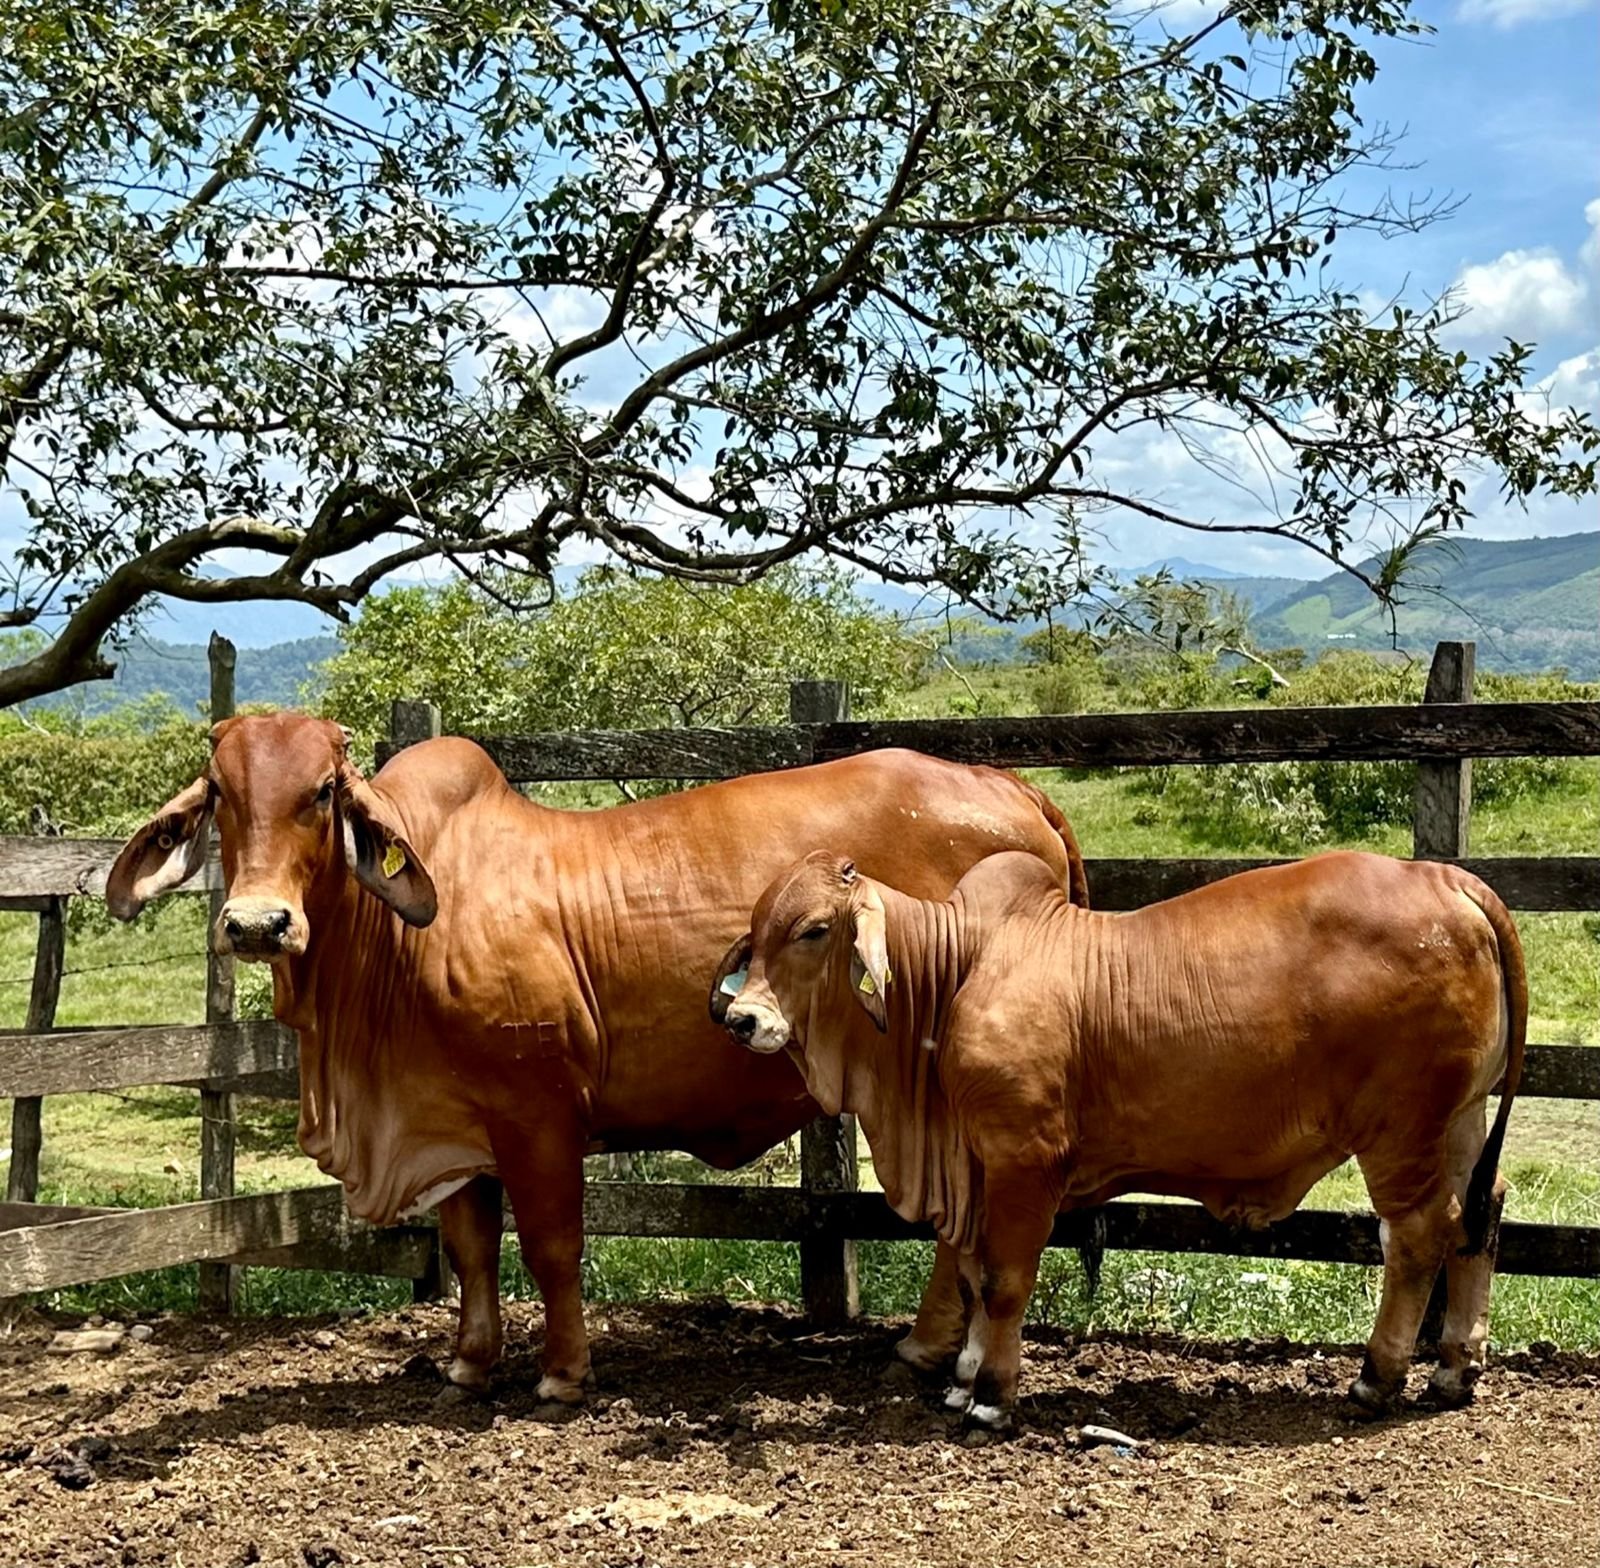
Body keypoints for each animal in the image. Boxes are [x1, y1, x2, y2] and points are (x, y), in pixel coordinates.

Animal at [106, 716, 1088, 1401]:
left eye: (319, 792)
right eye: (222, 796)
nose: (256, 923)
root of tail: (1006, 783)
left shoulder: (536, 1112)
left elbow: (549, 1247)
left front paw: (562, 1373)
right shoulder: (454, 1120)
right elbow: (470, 1250)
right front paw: (470, 1364)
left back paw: (929, 1351)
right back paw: (927, 1349)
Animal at [720, 851, 1529, 1427]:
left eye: (814, 930)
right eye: (755, 932)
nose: (742, 1019)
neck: (954, 976)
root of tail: (1447, 878)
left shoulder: (1022, 1158)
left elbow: (1005, 1282)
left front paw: (992, 1397)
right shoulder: (975, 1163)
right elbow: (973, 1275)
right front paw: (963, 1380)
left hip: (1401, 1130)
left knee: (1418, 1234)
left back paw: (1376, 1379)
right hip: (1460, 1120)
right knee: (1481, 1212)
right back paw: (1455, 1368)